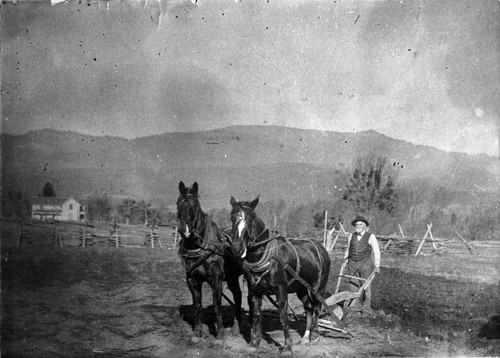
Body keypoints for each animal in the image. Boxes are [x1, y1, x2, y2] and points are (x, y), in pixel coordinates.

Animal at [177, 182, 243, 338]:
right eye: (178, 203)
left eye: (195, 205)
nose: (184, 230)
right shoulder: (192, 279)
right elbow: (197, 305)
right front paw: (197, 331)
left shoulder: (217, 278)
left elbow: (216, 305)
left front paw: (220, 332)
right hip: (232, 277)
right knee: (238, 295)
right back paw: (236, 327)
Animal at [229, 196, 330, 356]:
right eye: (232, 218)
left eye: (251, 218)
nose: (237, 248)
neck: (267, 256)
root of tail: (320, 247)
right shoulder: (254, 290)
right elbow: (256, 315)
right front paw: (254, 343)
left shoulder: (281, 289)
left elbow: (283, 316)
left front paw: (287, 347)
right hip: (302, 289)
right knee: (308, 308)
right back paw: (305, 337)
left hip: (318, 287)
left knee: (317, 307)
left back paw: (314, 335)